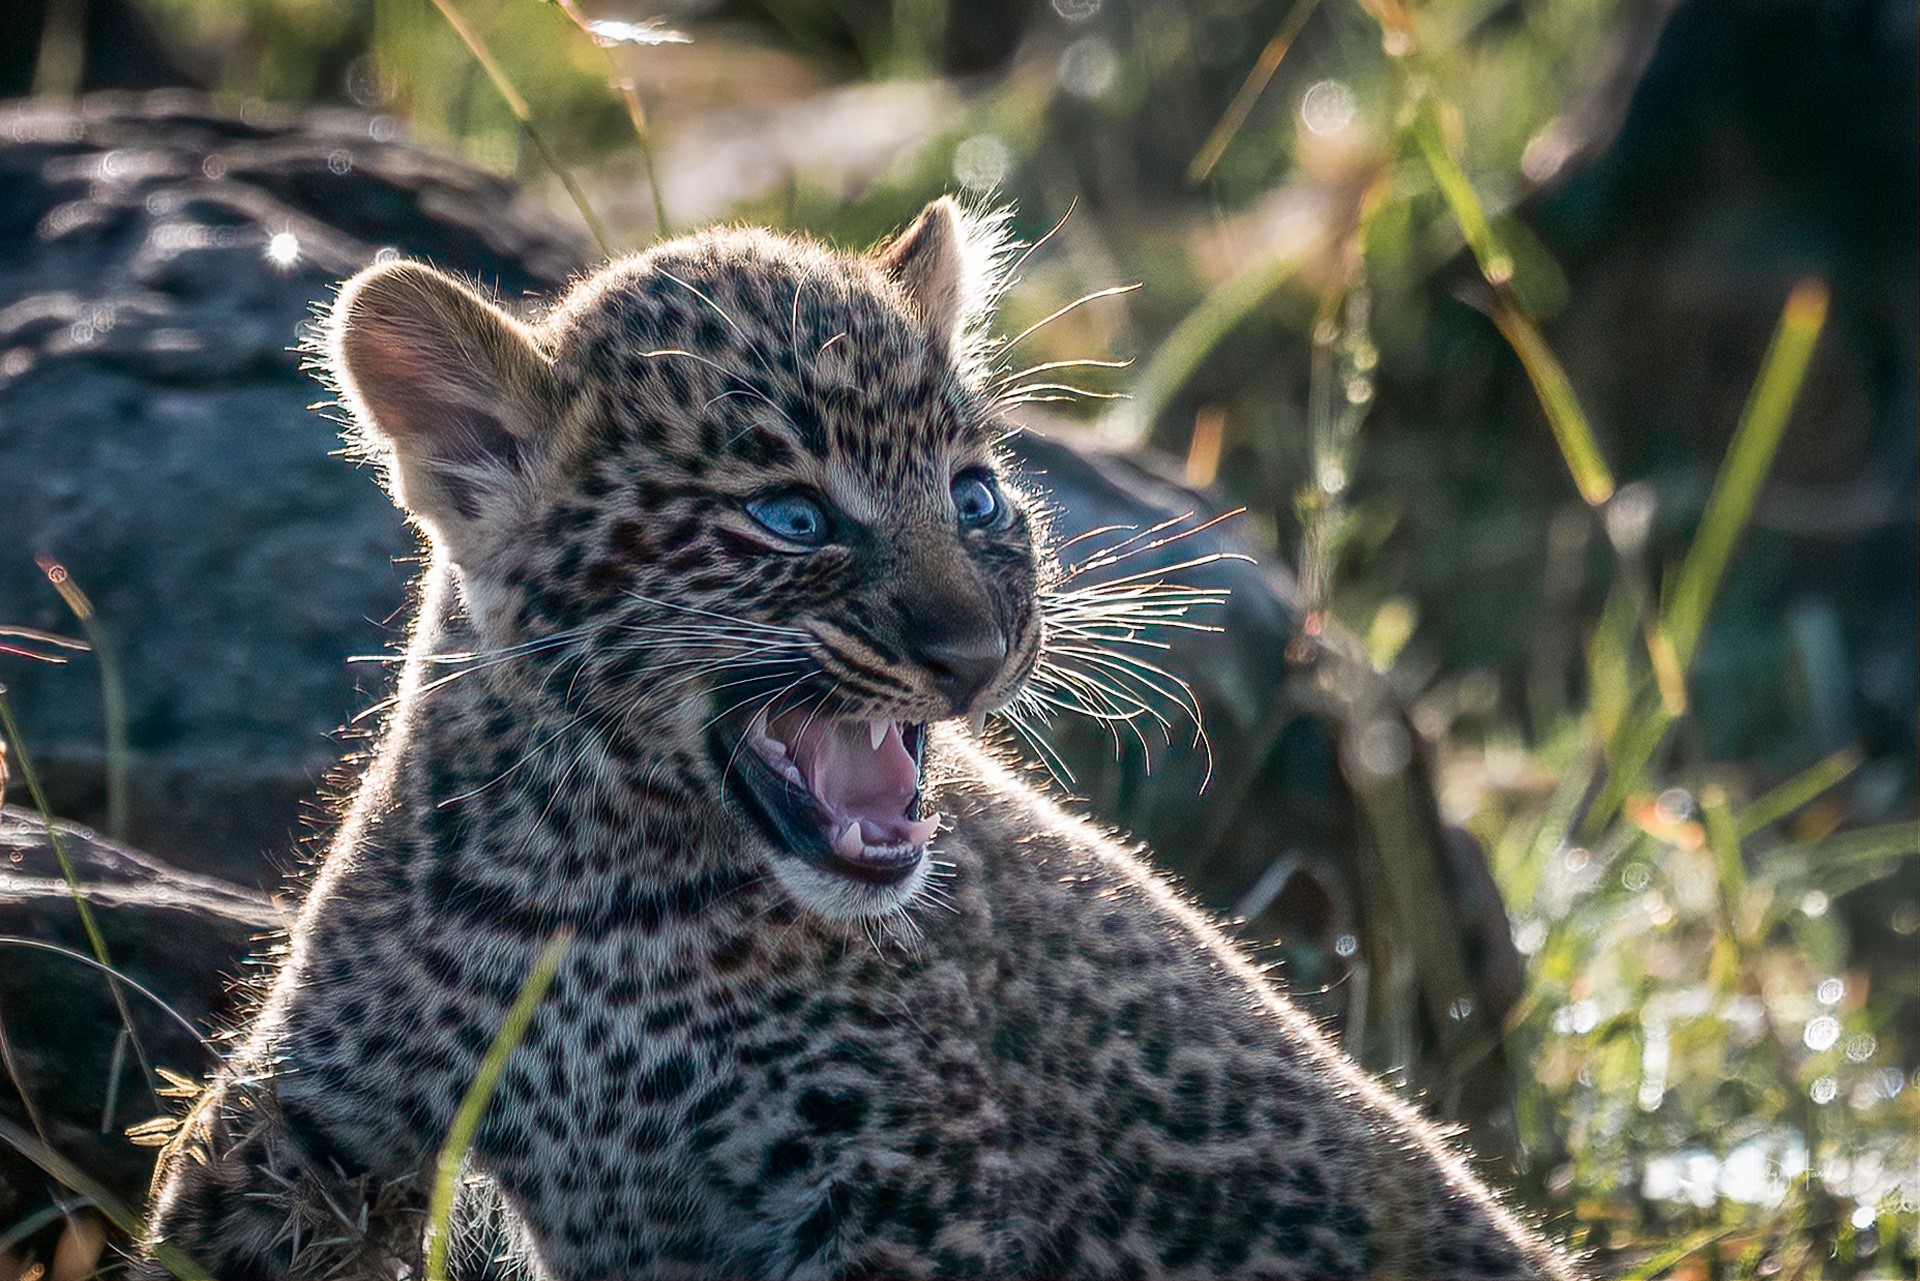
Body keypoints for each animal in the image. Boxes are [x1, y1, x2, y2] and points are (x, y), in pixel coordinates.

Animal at [140, 197, 1576, 1280]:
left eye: (975, 495)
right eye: (791, 518)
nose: (979, 649)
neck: (596, 886)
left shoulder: (895, 1182)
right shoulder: (312, 1113)